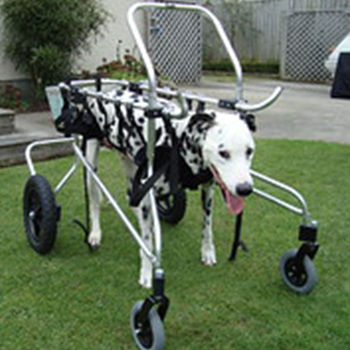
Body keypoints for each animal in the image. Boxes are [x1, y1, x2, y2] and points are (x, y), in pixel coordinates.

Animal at [80, 89, 254, 288]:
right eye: (223, 153)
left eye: (249, 151)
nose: (245, 189)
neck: (179, 140)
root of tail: (106, 91)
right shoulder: (147, 190)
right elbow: (148, 243)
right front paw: (147, 271)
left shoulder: (208, 190)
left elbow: (207, 226)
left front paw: (207, 252)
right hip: (91, 166)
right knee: (94, 201)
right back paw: (95, 234)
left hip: (131, 166)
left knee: (132, 199)